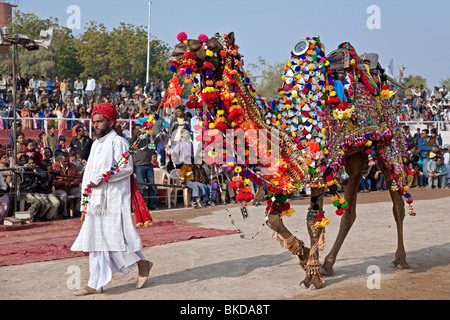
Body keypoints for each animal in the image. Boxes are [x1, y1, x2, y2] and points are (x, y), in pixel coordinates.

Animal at [166, 32, 414, 290]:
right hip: (355, 154)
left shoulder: (316, 170)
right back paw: (329, 263)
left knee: (397, 201)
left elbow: (313, 222)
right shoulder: (283, 174)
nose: (179, 47)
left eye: (213, 46)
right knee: (350, 212)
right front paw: (305, 257)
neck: (279, 120)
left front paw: (312, 276)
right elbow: (274, 220)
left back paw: (400, 259)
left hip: (387, 142)